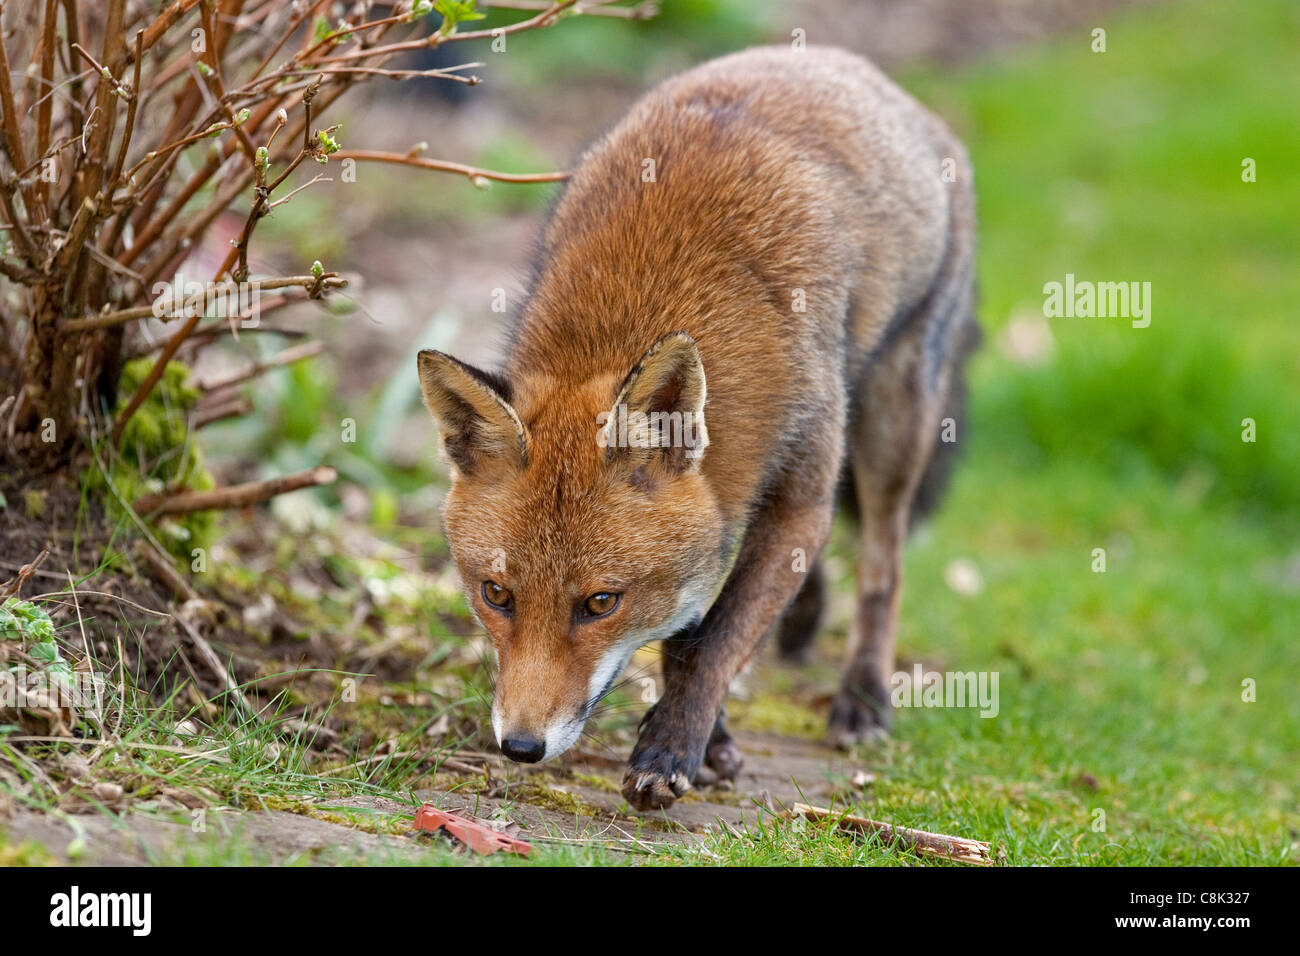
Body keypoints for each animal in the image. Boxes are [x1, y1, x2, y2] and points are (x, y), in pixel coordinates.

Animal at [416, 44, 977, 806]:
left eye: (600, 603)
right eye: (495, 594)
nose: (521, 747)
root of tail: (849, 64)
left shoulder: (798, 495)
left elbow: (711, 639)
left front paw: (673, 746)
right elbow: (689, 626)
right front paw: (711, 739)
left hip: (897, 413)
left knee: (881, 566)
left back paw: (863, 698)